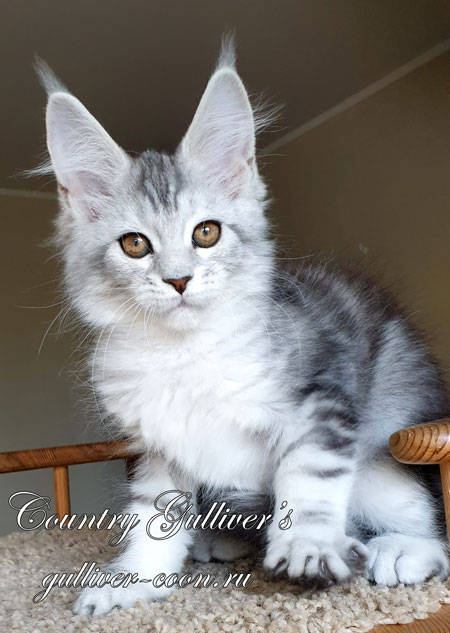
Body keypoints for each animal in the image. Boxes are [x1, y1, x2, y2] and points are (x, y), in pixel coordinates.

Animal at [35, 39, 449, 616]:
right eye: (135, 244)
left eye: (206, 232)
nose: (179, 280)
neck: (185, 353)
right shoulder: (159, 444)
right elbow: (153, 517)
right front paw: (134, 580)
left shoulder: (322, 390)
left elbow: (308, 475)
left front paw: (306, 546)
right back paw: (222, 541)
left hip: (383, 449)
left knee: (432, 531)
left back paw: (398, 551)